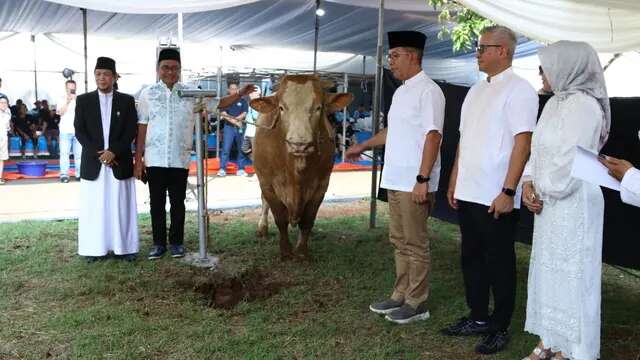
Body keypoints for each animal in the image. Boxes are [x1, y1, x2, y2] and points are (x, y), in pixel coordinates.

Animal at [250, 75, 352, 258]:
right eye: (281, 108)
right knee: (263, 201)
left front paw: (301, 251)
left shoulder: (321, 186)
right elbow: (280, 218)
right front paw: (285, 250)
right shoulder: (267, 183)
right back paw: (262, 227)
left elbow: (308, 220)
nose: (299, 144)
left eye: (318, 107)